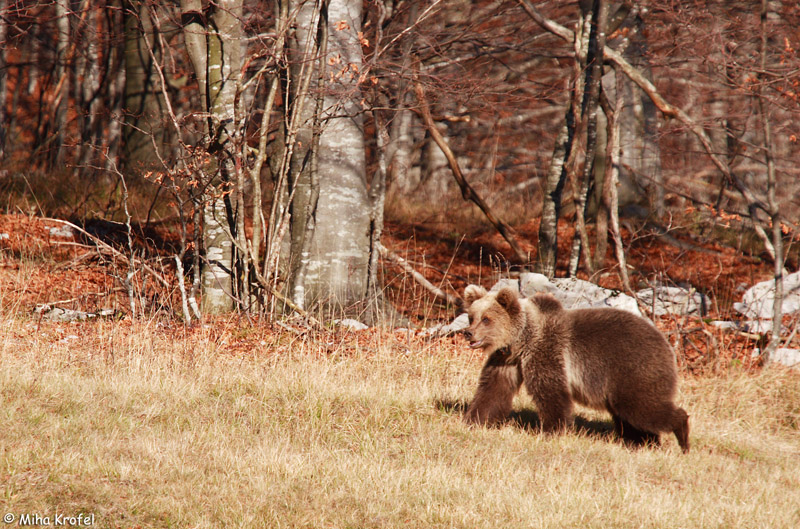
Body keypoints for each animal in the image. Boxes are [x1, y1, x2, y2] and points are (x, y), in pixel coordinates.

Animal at [460, 282, 692, 452]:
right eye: (472, 316)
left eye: (486, 319)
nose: (468, 332)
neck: (522, 340)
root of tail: (667, 345)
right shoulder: (507, 361)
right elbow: (493, 390)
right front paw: (474, 420)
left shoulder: (546, 352)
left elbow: (551, 392)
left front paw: (552, 431)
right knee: (631, 416)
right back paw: (642, 442)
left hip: (634, 369)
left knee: (643, 408)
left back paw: (681, 437)